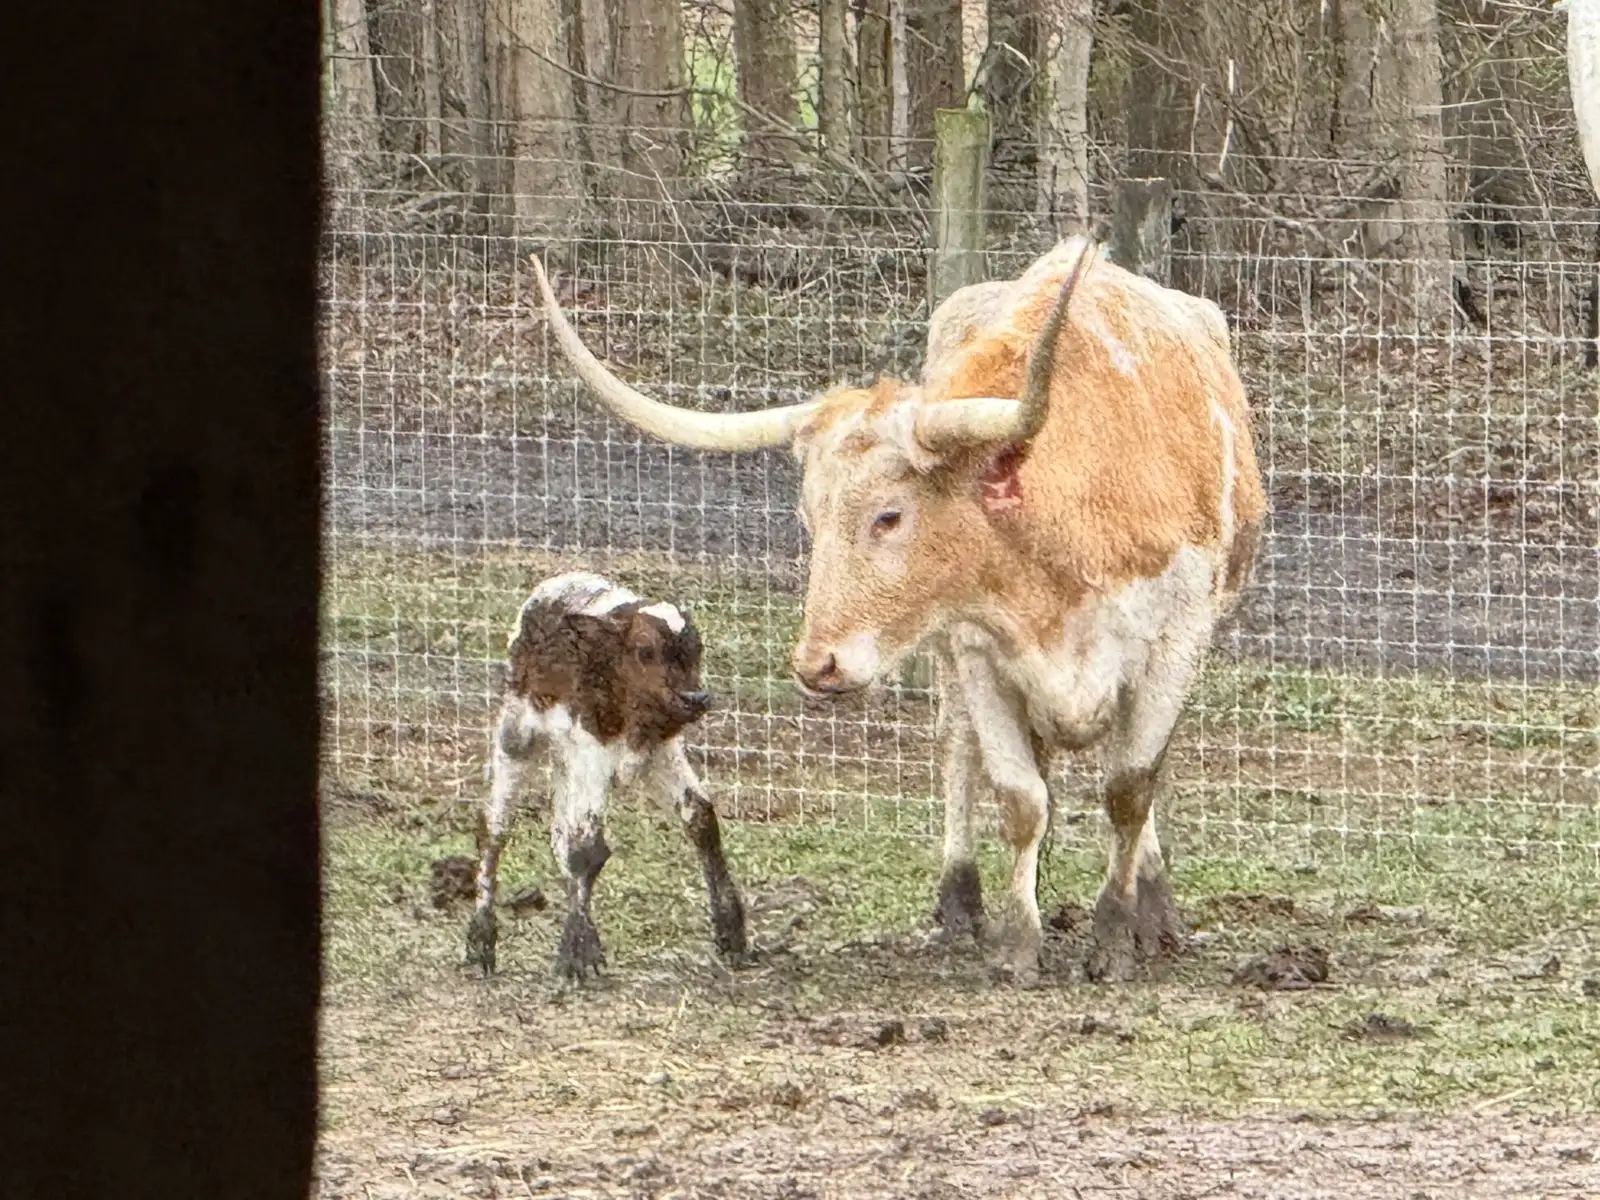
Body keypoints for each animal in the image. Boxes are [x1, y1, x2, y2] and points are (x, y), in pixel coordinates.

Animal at [527, 236, 1266, 985]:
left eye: (889, 515)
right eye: (809, 517)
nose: (817, 665)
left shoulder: (1174, 645)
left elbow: (1130, 789)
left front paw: (1115, 936)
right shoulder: (978, 650)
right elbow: (1020, 797)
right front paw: (1016, 942)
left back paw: (1154, 910)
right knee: (960, 751)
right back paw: (961, 903)